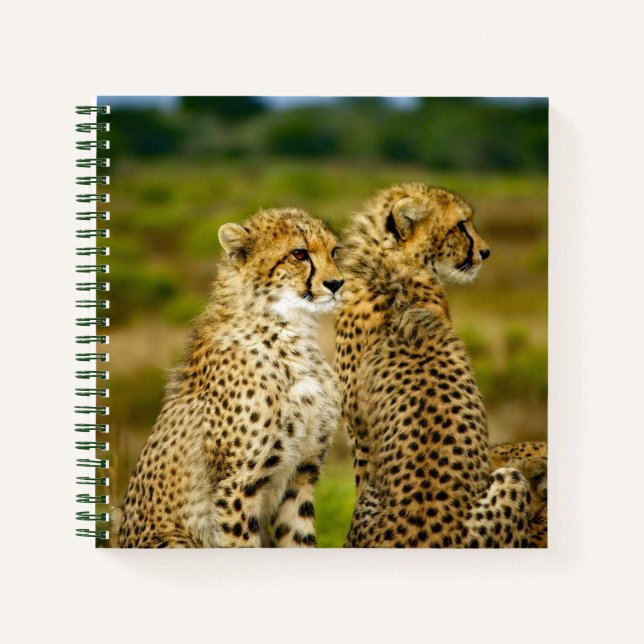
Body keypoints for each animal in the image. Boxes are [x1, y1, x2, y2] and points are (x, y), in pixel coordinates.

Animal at [117, 207, 344, 547]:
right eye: (299, 254)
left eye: (334, 251)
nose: (337, 283)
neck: (291, 329)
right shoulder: (238, 485)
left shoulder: (302, 474)